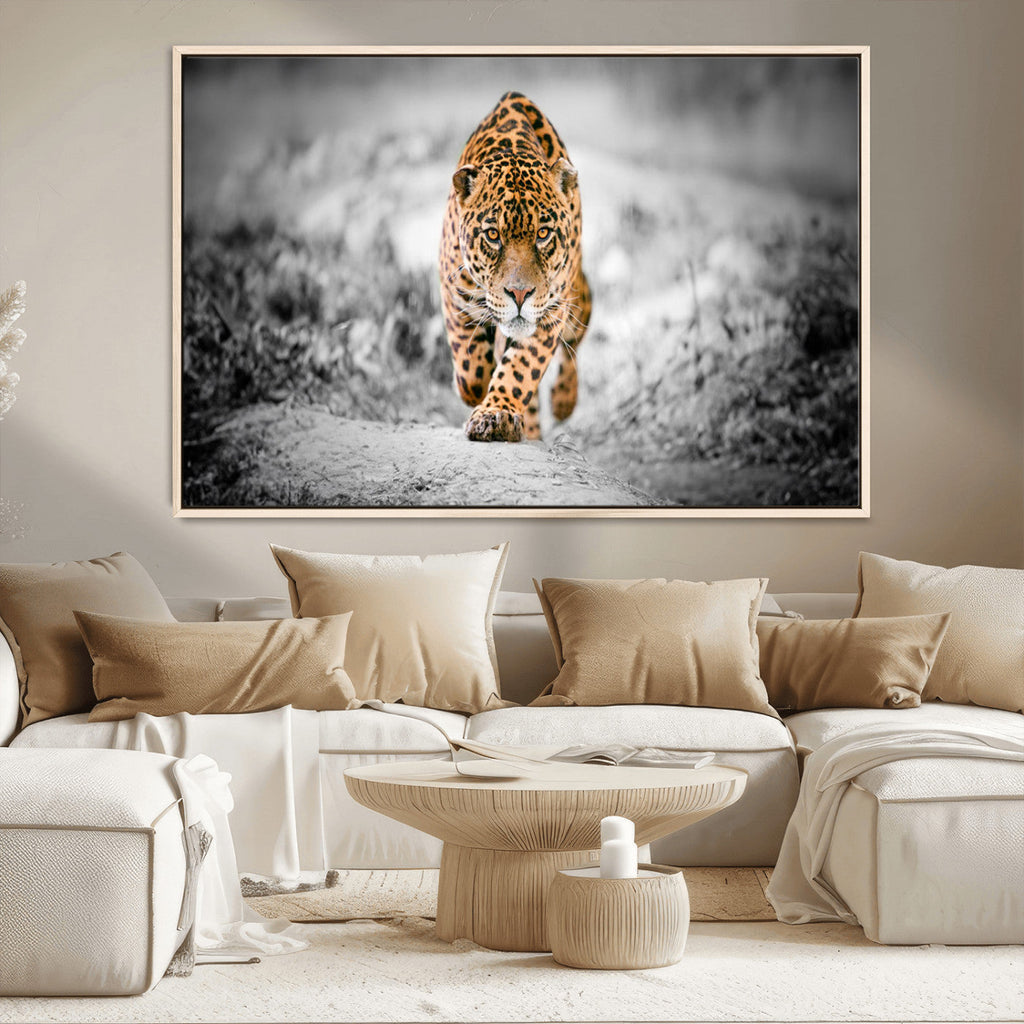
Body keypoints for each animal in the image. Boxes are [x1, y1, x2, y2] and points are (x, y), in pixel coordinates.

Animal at [439, 91, 591, 442]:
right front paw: (475, 391)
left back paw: (563, 401)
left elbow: (521, 368)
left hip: (578, 297)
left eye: (543, 234)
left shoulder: (551, 311)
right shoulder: (454, 293)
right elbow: (470, 368)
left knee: (574, 344)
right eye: (493, 235)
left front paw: (496, 414)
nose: (519, 294)